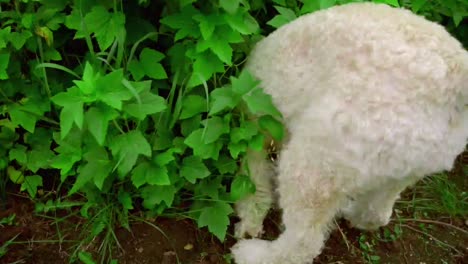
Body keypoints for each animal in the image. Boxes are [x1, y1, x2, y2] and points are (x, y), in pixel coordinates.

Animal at [231, 2, 468, 264]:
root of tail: (456, 81)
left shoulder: (259, 133)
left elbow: (254, 179)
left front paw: (249, 218)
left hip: (315, 165)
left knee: (303, 242)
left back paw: (254, 254)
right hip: (405, 170)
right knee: (379, 211)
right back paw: (354, 213)